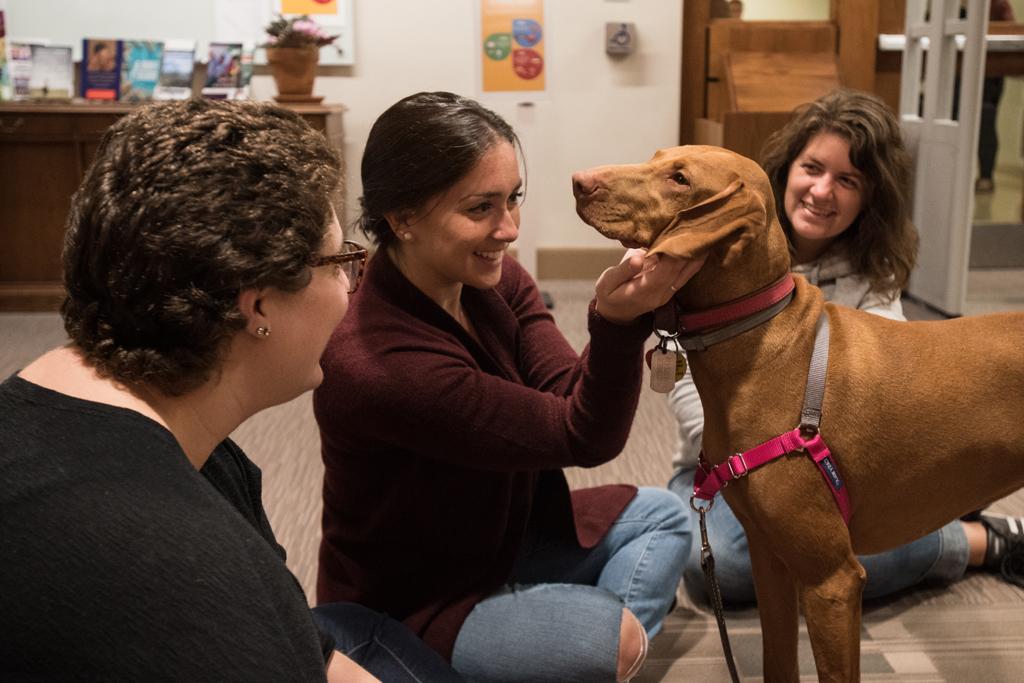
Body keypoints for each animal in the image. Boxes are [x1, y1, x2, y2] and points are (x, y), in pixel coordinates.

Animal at [573, 147, 1024, 679]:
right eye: (657, 158)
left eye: (679, 178)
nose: (578, 181)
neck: (758, 342)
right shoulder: (769, 562)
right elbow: (777, 662)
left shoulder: (832, 581)